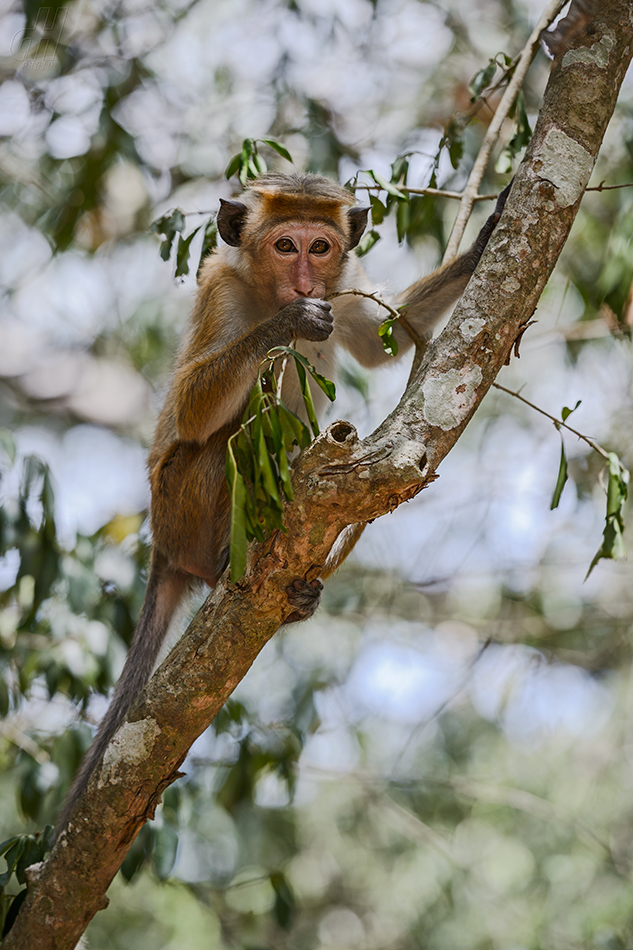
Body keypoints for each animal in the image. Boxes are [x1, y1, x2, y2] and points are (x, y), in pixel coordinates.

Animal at [55, 173, 508, 840]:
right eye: (285, 246)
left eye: (319, 248)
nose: (303, 282)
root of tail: (164, 547)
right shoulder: (221, 292)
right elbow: (194, 409)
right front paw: (287, 323)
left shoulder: (343, 286)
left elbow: (379, 343)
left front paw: (485, 239)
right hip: (177, 507)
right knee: (230, 439)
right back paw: (230, 558)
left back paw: (298, 590)